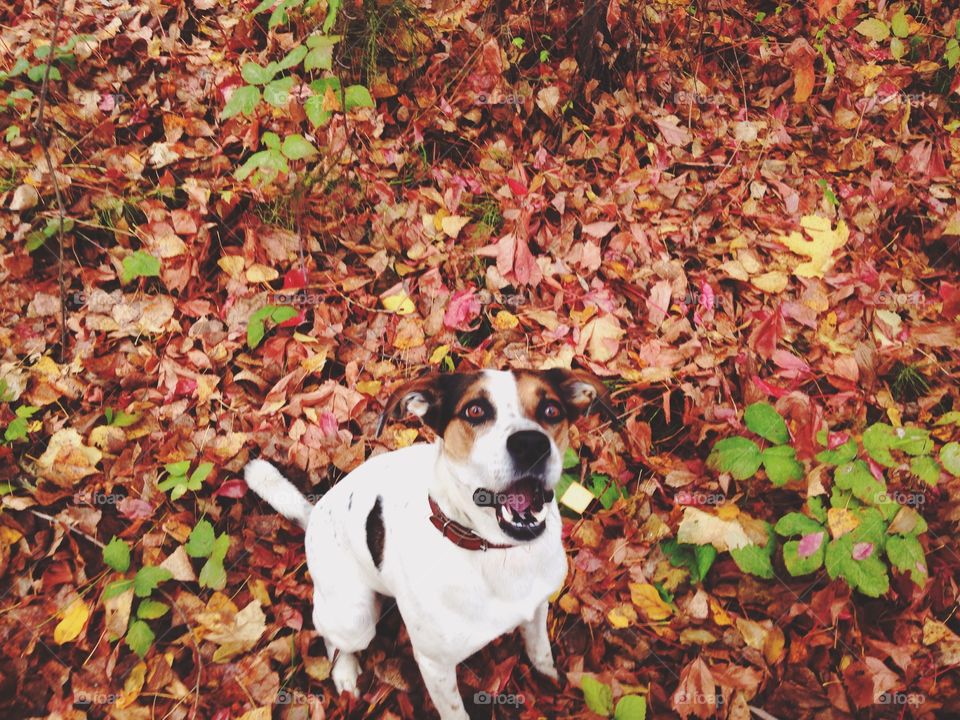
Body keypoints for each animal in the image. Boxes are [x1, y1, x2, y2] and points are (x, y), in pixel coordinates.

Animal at [244, 368, 612, 716]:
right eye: (474, 410)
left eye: (551, 409)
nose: (532, 445)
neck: (494, 551)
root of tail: (313, 514)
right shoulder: (435, 666)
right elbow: (455, 713)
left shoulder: (536, 608)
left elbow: (540, 652)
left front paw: (551, 680)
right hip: (354, 617)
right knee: (331, 637)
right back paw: (344, 673)